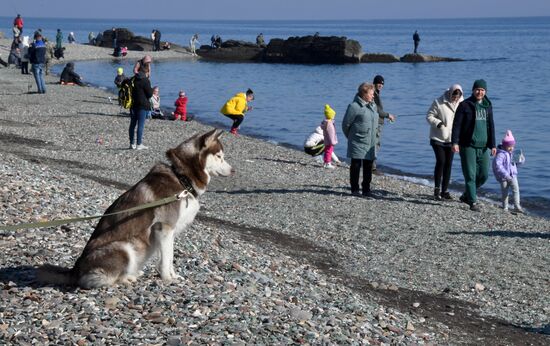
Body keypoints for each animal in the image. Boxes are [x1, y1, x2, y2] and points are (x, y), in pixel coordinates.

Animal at [38, 128, 233, 288]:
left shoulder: (169, 232)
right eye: (219, 156)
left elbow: (168, 258)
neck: (182, 179)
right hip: (123, 249)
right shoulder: (164, 228)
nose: (233, 171)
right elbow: (166, 260)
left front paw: (172, 275)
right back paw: (126, 278)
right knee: (95, 280)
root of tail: (75, 270)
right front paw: (168, 279)